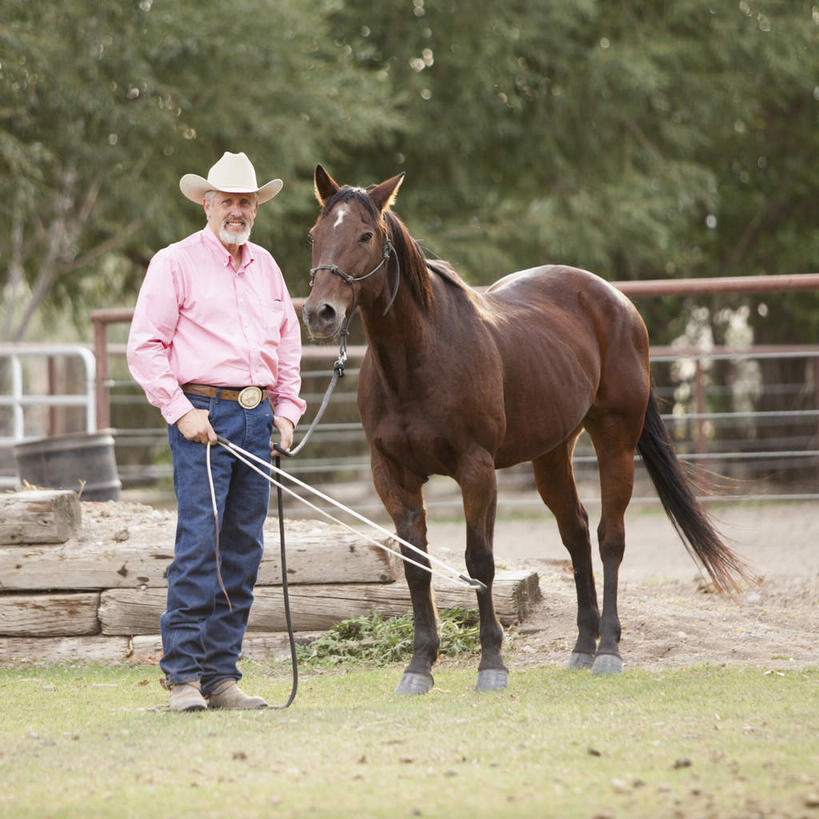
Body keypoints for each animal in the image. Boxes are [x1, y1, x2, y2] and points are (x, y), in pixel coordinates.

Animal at [302, 165, 748, 692]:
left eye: (365, 235)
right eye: (314, 236)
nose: (320, 314)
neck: (419, 358)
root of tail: (616, 300)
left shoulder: (476, 470)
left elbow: (479, 561)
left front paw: (492, 663)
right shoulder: (391, 474)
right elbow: (417, 566)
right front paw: (419, 667)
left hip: (616, 441)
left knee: (609, 537)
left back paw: (608, 650)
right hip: (551, 453)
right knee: (575, 532)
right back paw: (582, 646)